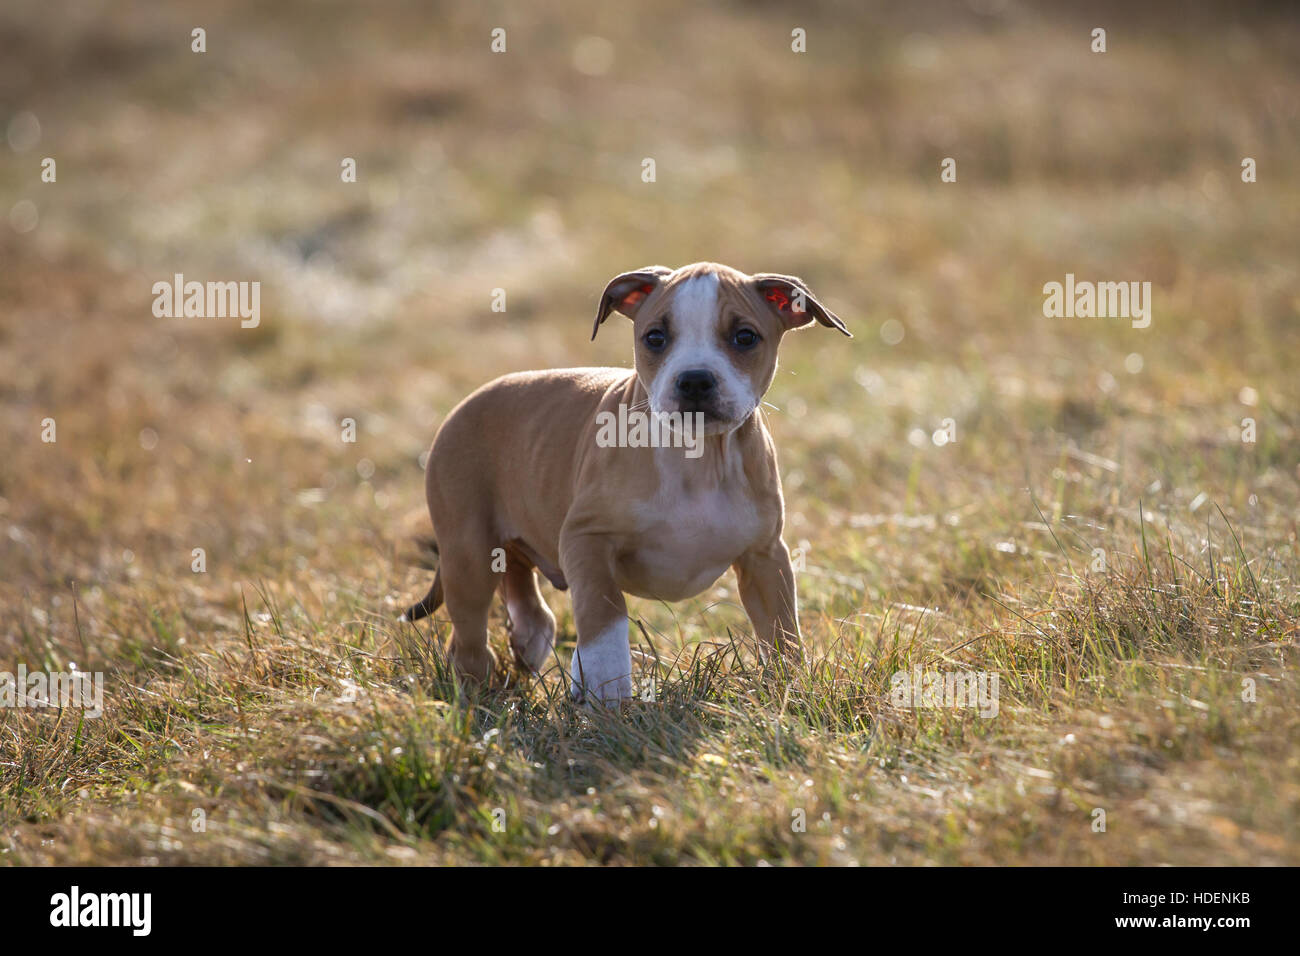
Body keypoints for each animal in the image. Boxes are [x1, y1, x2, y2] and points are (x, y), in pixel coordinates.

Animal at [405, 261, 852, 702]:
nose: (694, 379)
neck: (698, 457)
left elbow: (781, 632)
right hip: (469, 553)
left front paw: (791, 690)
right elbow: (605, 618)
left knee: (529, 608)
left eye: (745, 337)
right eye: (655, 337)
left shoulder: (765, 557)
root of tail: (466, 403)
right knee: (469, 638)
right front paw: (607, 692)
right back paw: (473, 697)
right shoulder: (586, 540)